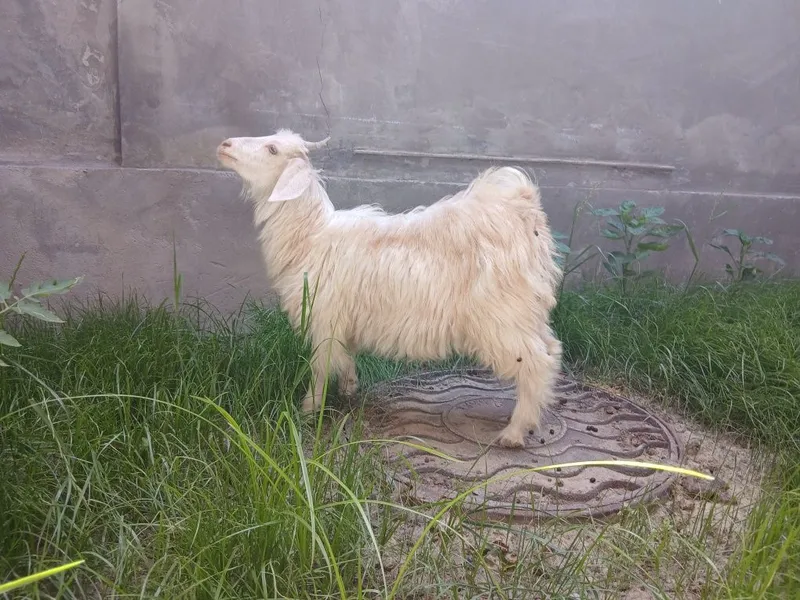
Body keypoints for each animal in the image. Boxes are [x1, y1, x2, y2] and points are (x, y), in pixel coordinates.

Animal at [217, 129, 563, 447]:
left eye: (272, 149)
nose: (224, 144)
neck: (312, 234)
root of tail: (525, 209)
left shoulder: (324, 318)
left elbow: (320, 367)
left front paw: (307, 410)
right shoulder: (343, 320)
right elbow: (345, 357)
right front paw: (349, 387)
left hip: (502, 317)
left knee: (536, 362)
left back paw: (514, 433)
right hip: (527, 311)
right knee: (552, 350)